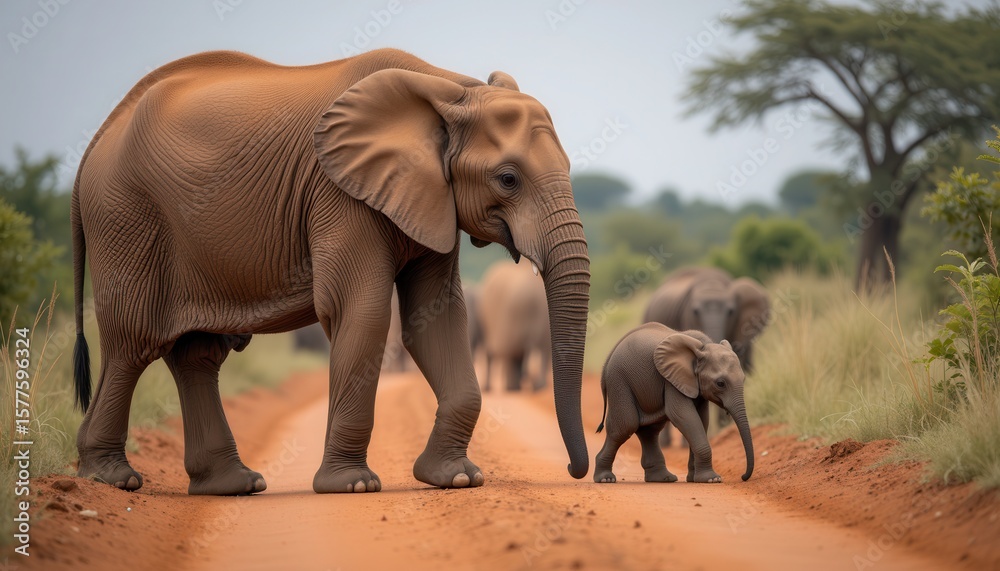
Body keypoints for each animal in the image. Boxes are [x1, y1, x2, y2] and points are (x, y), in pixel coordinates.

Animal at [593, 323, 754, 484]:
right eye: (720, 383)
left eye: (744, 379)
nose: (743, 476)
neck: (703, 348)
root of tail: (606, 362)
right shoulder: (672, 381)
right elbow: (683, 416)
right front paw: (712, 479)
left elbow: (702, 419)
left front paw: (694, 479)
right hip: (619, 382)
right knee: (626, 426)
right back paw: (605, 479)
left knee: (649, 430)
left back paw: (663, 478)